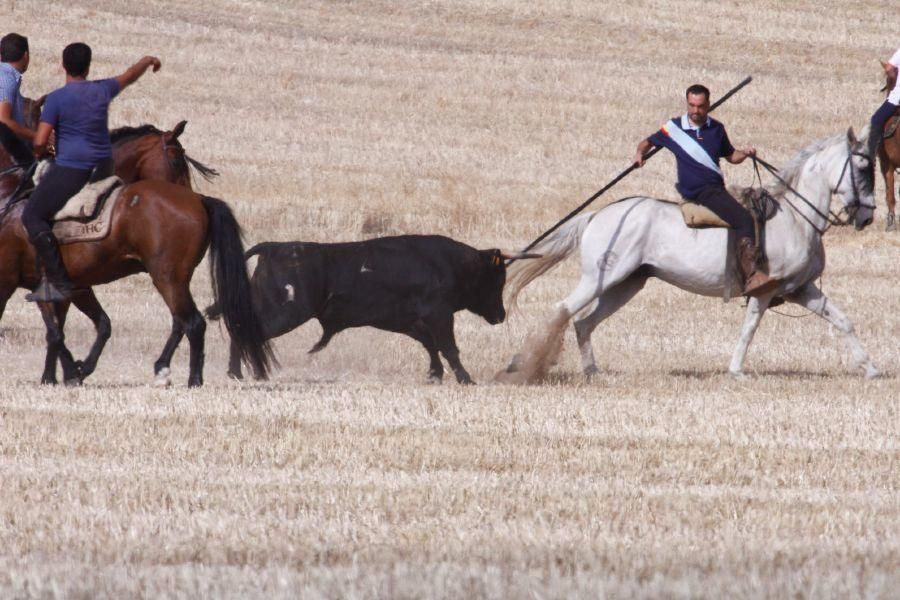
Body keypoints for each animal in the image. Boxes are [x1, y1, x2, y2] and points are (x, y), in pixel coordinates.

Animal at [204, 236, 532, 384]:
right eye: (498, 278)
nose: (500, 315)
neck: (449, 263)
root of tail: (274, 247)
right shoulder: (439, 314)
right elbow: (448, 346)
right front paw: (465, 378)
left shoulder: (411, 320)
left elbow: (431, 345)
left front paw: (435, 374)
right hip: (288, 312)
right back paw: (240, 372)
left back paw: (237, 372)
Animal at [506, 128, 880, 382]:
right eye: (863, 168)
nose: (867, 216)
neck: (796, 217)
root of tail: (599, 214)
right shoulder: (765, 290)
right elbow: (750, 328)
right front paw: (736, 371)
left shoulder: (801, 289)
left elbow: (842, 320)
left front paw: (871, 368)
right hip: (601, 278)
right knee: (563, 310)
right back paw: (524, 365)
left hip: (626, 284)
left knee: (583, 322)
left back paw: (592, 371)